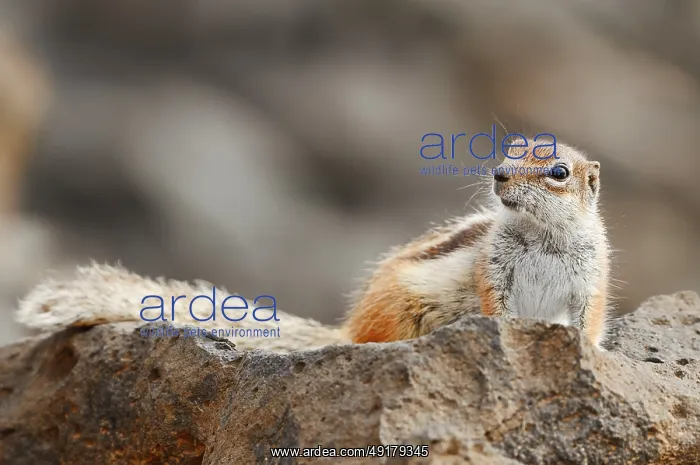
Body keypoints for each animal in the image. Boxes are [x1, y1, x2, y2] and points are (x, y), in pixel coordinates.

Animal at [14, 140, 611, 352]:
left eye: (558, 172)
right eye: (510, 148)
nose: (500, 174)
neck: (543, 238)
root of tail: (348, 330)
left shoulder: (591, 279)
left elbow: (589, 318)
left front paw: (590, 352)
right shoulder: (493, 268)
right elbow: (496, 304)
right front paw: (505, 334)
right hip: (405, 310)